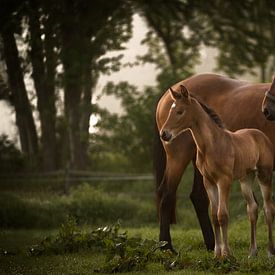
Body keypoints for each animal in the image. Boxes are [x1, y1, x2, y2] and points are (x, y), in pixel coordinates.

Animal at [156, 73, 275, 252]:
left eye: (180, 112)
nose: (266, 110)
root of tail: (165, 97)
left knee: (198, 197)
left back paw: (212, 244)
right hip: (178, 156)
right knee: (167, 192)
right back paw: (167, 246)